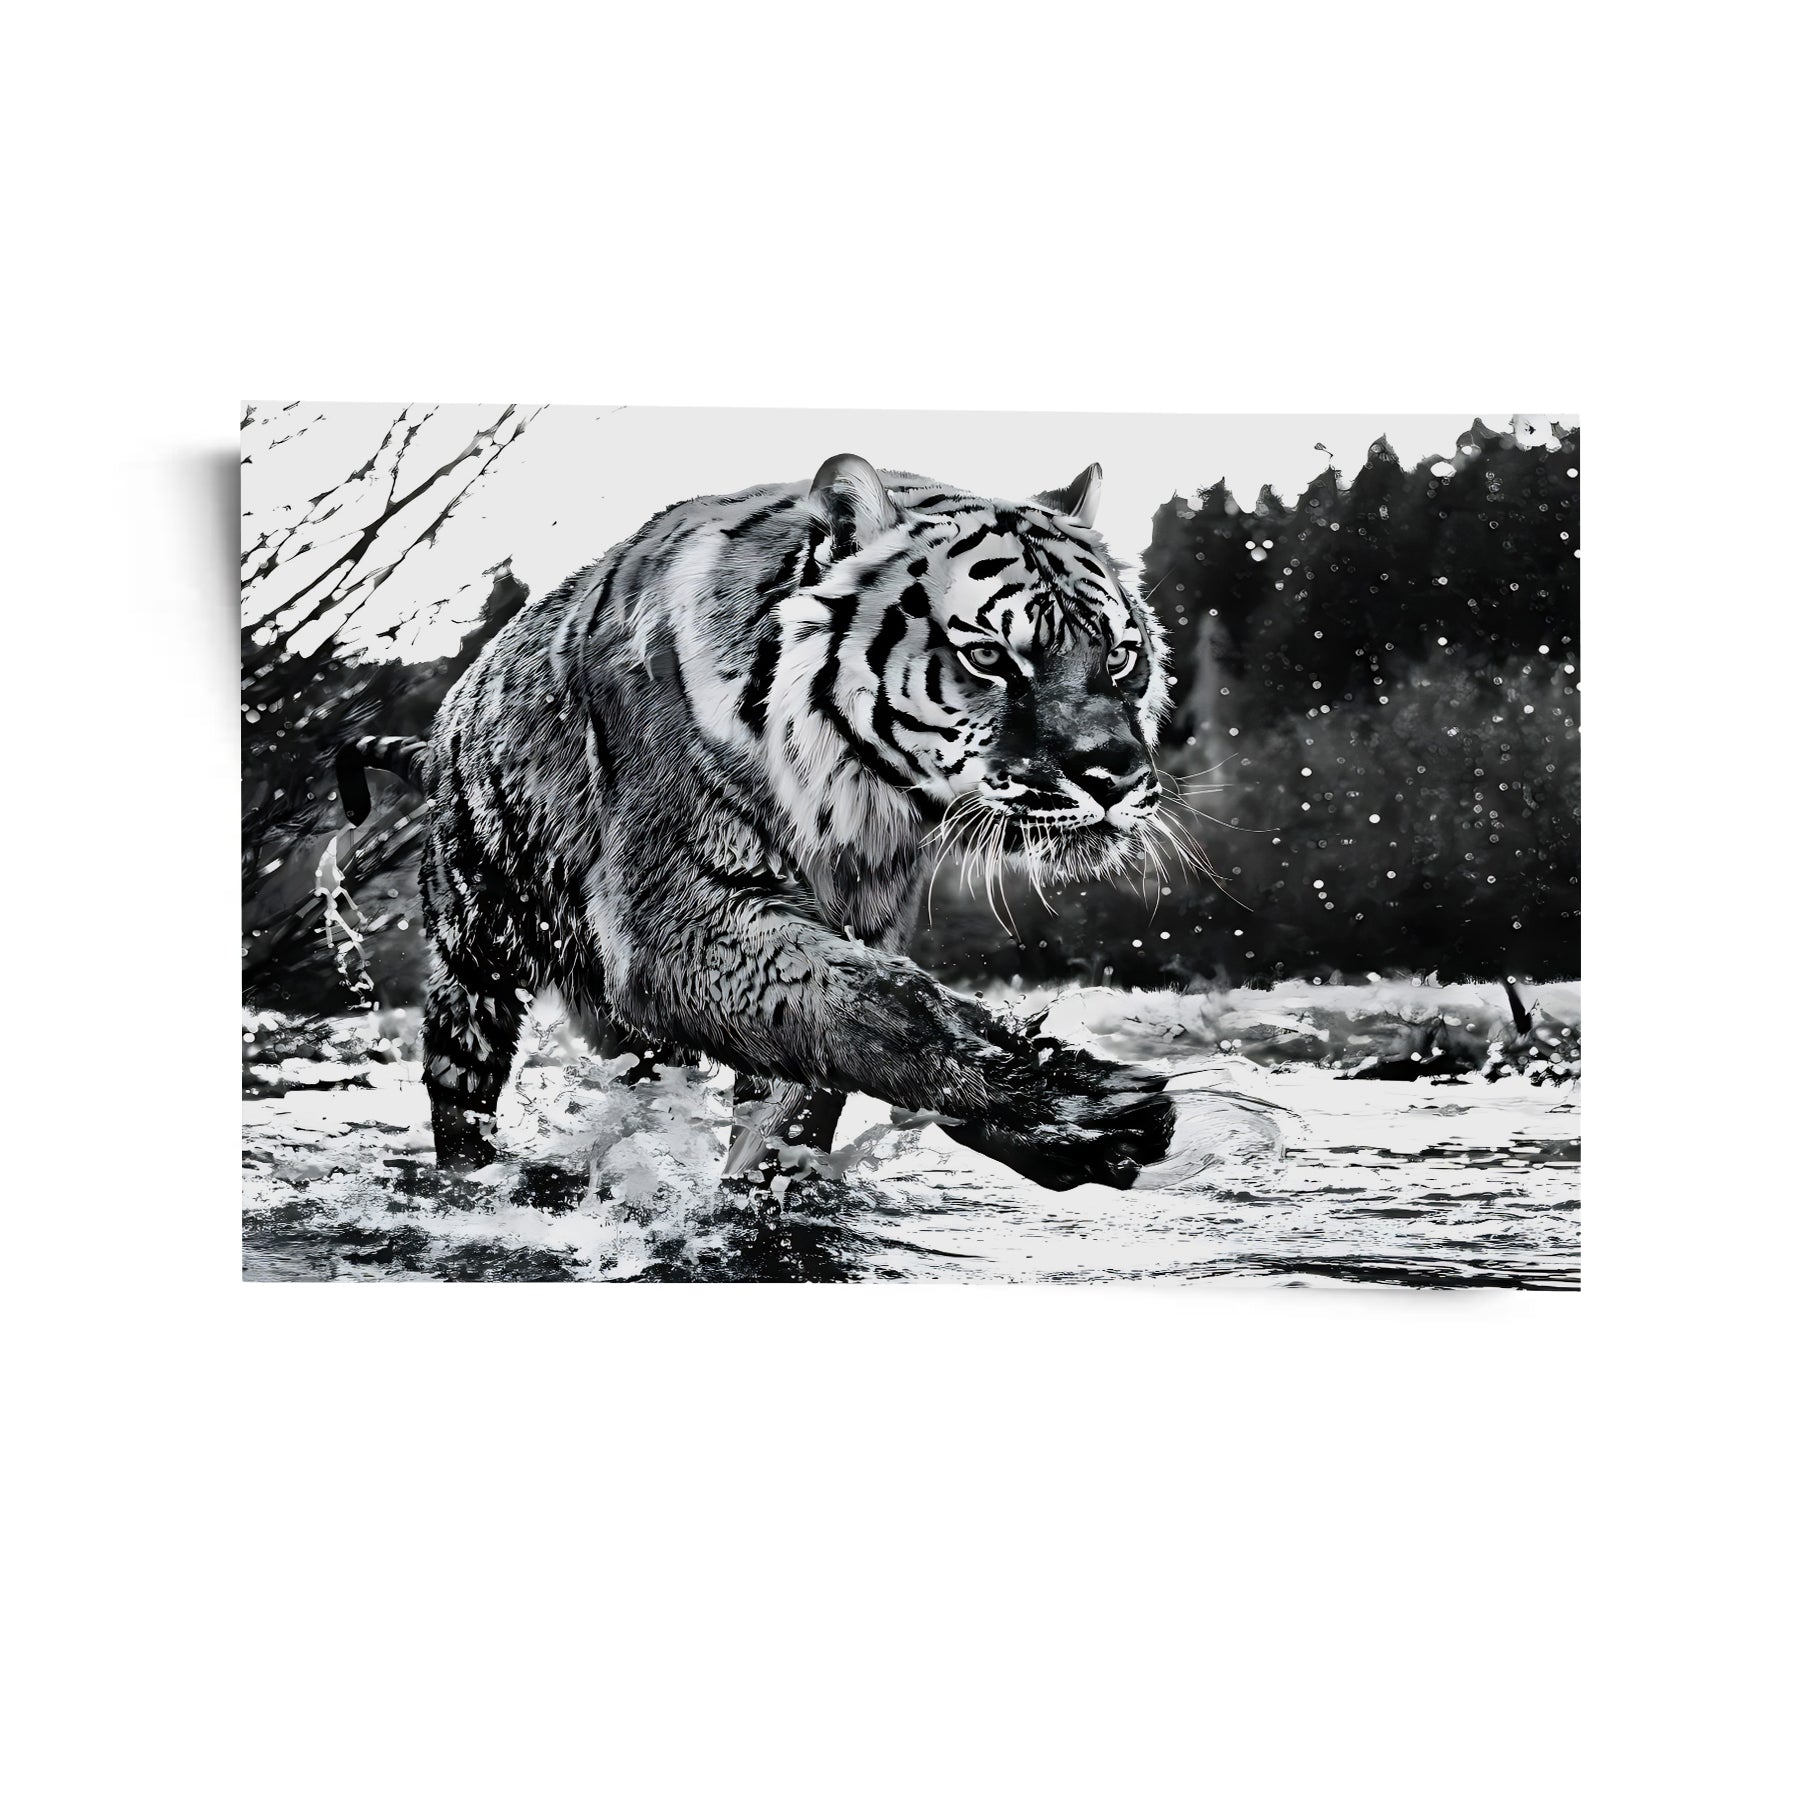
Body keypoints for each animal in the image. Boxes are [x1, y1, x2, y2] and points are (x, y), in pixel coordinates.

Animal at [337, 454, 1181, 1191]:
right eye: (991, 658)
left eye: (1120, 658)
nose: (1115, 773)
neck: (856, 797)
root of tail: (449, 716)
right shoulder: (674, 922)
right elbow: (887, 1007)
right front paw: (1075, 1103)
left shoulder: (854, 920)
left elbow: (810, 1083)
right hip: (474, 953)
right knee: (460, 1088)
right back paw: (472, 1178)